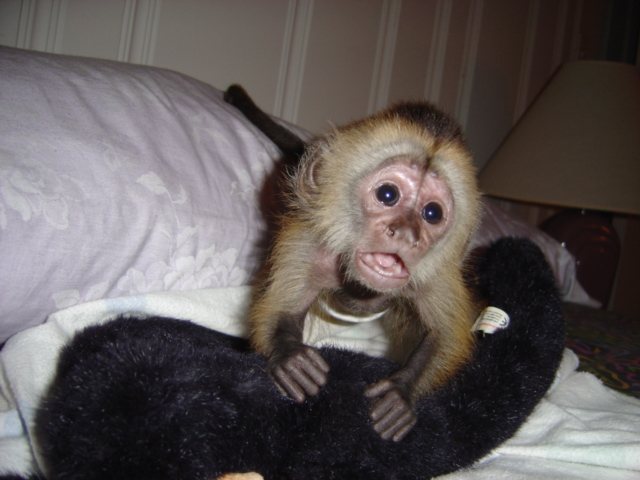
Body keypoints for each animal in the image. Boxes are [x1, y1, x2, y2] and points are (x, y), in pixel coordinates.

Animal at [225, 87, 481, 442]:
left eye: (432, 213)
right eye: (387, 194)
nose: (406, 233)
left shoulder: (437, 274)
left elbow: (443, 335)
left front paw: (400, 391)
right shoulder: (308, 243)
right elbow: (280, 311)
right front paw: (290, 357)